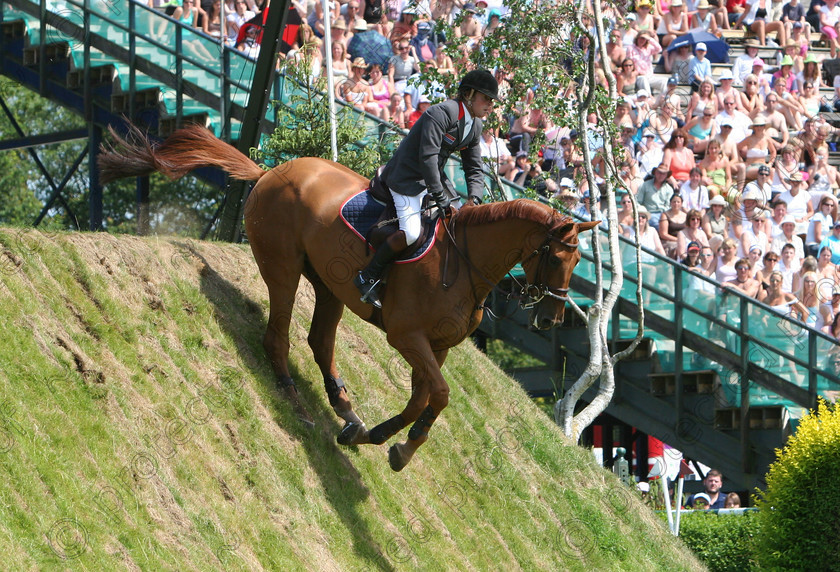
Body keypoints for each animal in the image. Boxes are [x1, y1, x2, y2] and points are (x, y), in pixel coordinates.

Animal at [98, 124, 596, 470]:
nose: (550, 319)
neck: (466, 262)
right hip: (283, 268)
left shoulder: (436, 347)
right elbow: (439, 394)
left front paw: (382, 441)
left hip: (328, 285)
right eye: (555, 257)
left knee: (320, 342)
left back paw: (347, 413)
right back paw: (294, 399)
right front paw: (400, 448)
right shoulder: (406, 337)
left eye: (576, 262)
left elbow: (423, 399)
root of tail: (272, 170)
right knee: (278, 336)